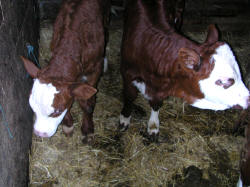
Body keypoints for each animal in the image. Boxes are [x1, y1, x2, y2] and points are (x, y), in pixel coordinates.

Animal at [20, 0, 108, 141]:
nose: (40, 133)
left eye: (58, 111)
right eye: (32, 106)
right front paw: (68, 125)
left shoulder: (94, 69)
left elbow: (88, 103)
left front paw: (87, 129)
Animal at [119, 0, 250, 137]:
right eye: (222, 81)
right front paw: (124, 119)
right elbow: (130, 96)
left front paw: (153, 126)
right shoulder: (127, 73)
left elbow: (156, 103)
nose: (249, 99)